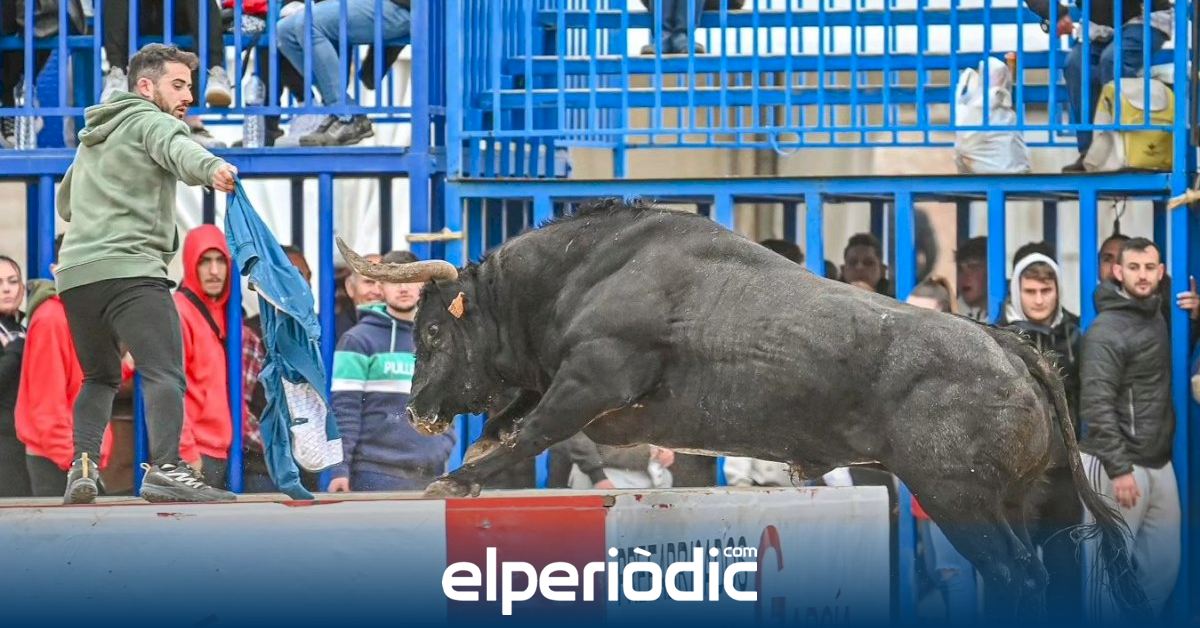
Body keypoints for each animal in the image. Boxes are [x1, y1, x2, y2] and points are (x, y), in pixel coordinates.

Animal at [335, 198, 1149, 621]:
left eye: (432, 330)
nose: (418, 410)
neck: (577, 276)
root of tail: (1011, 346)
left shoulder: (591, 382)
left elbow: (525, 431)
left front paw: (458, 479)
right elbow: (512, 424)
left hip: (962, 502)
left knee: (1019, 578)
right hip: (1031, 504)